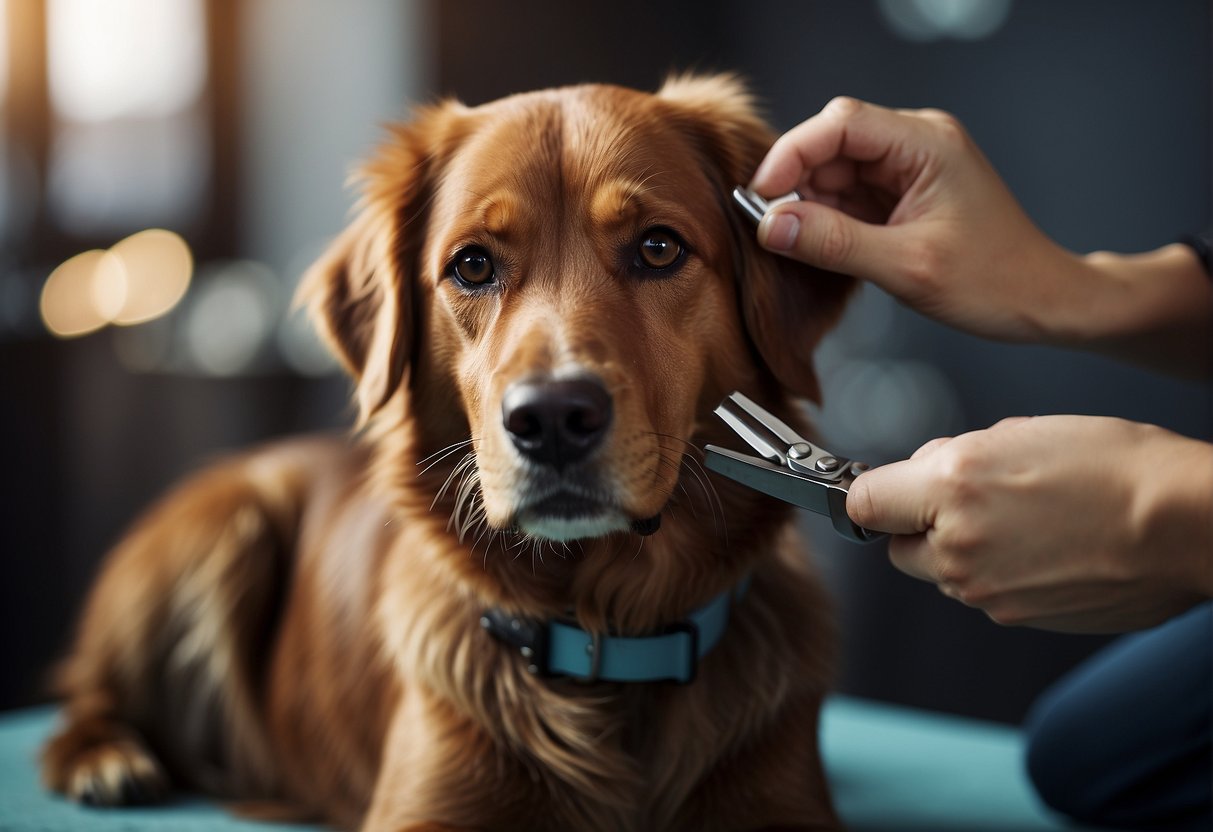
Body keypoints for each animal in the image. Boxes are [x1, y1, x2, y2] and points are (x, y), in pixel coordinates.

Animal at [40, 74, 853, 829]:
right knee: (83, 688)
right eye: (472, 265)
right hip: (218, 527)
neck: (603, 643)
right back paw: (104, 759)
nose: (551, 419)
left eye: (658, 248)